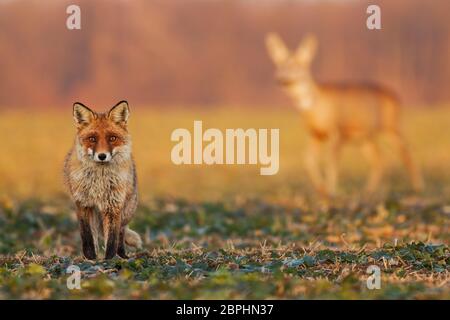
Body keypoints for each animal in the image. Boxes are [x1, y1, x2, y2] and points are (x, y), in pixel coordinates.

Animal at [64, 100, 142, 260]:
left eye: (112, 138)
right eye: (92, 139)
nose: (102, 156)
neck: (99, 182)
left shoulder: (113, 206)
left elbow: (112, 239)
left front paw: (109, 260)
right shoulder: (83, 204)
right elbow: (87, 238)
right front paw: (91, 258)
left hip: (126, 211)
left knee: (121, 233)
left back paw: (122, 255)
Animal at [266, 33, 424, 196]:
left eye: (298, 65)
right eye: (279, 65)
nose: (281, 79)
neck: (315, 107)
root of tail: (396, 96)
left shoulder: (337, 131)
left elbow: (331, 163)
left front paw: (330, 191)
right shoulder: (315, 134)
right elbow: (307, 160)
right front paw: (321, 189)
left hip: (391, 126)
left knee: (407, 153)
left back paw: (418, 188)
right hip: (365, 137)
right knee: (379, 159)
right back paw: (368, 190)